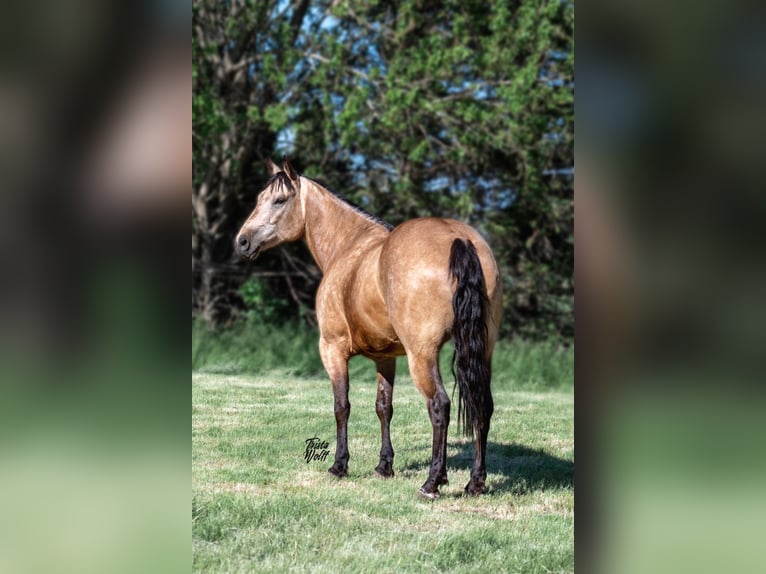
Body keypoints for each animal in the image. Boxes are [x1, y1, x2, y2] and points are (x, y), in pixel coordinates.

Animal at [237, 158, 508, 500]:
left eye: (279, 200)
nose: (242, 241)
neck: (348, 247)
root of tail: (458, 239)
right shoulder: (385, 357)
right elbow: (384, 407)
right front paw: (384, 466)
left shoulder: (332, 349)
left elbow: (342, 406)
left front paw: (339, 466)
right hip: (483, 350)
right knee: (482, 407)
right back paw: (476, 482)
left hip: (422, 355)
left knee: (439, 406)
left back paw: (432, 482)